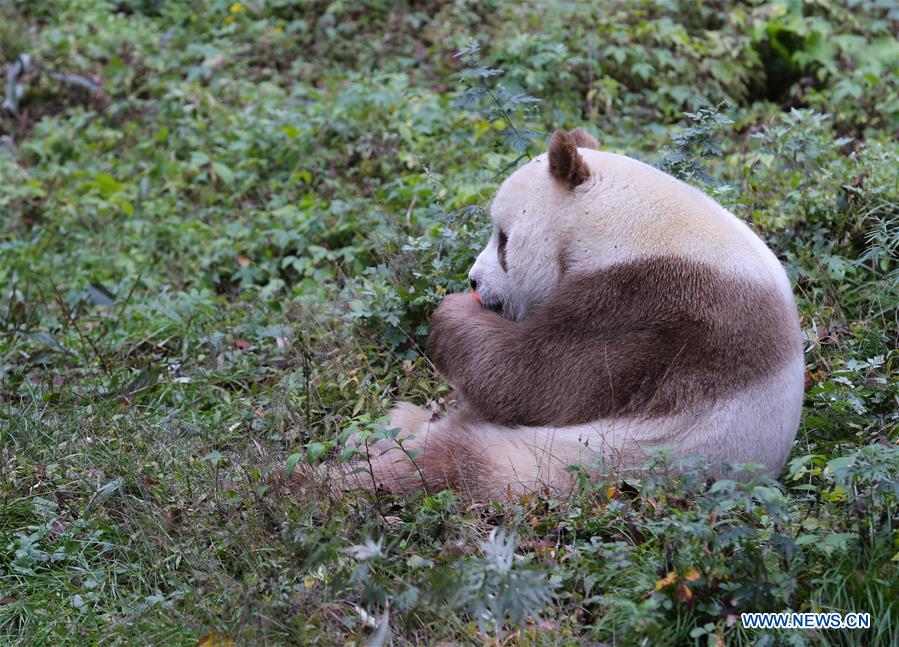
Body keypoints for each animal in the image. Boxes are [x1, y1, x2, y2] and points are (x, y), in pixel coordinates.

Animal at [356, 128, 804, 502]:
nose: (474, 281)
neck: (625, 221)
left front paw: (452, 312)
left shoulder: (651, 302)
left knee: (451, 464)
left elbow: (534, 381)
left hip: (593, 457)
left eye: (503, 241)